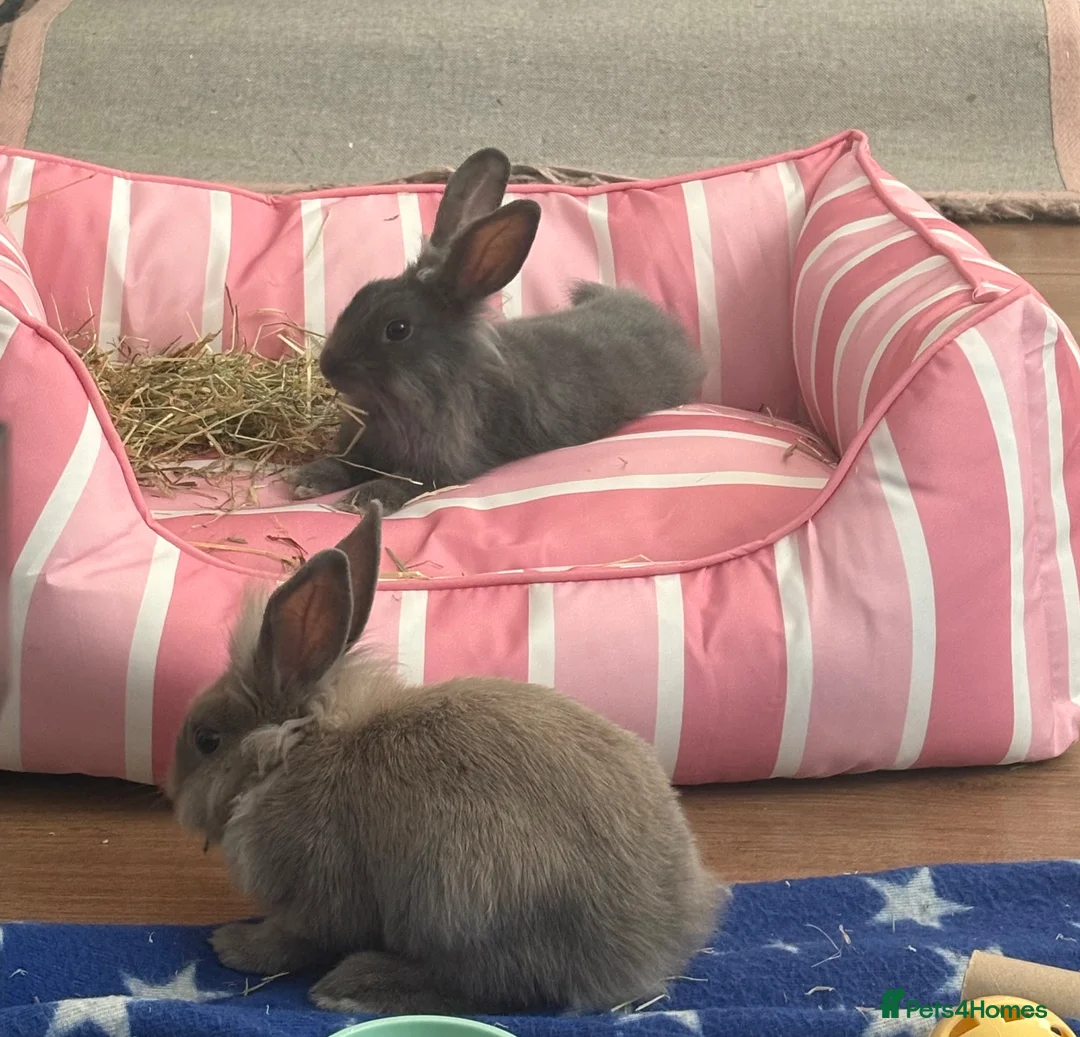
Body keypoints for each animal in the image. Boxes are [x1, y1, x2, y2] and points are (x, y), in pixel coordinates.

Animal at [166, 502, 721, 1016]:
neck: (292, 752)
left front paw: (232, 945)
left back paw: (352, 987)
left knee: (486, 985)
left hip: (463, 900)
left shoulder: (315, 898)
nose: (171, 793)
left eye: (207, 739)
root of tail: (658, 942)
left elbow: (291, 940)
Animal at [284, 147, 705, 514]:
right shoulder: (360, 448)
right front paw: (306, 479)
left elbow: (405, 482)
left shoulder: (442, 466)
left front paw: (363, 499)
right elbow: (343, 463)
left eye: (398, 329)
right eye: (361, 295)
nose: (328, 366)